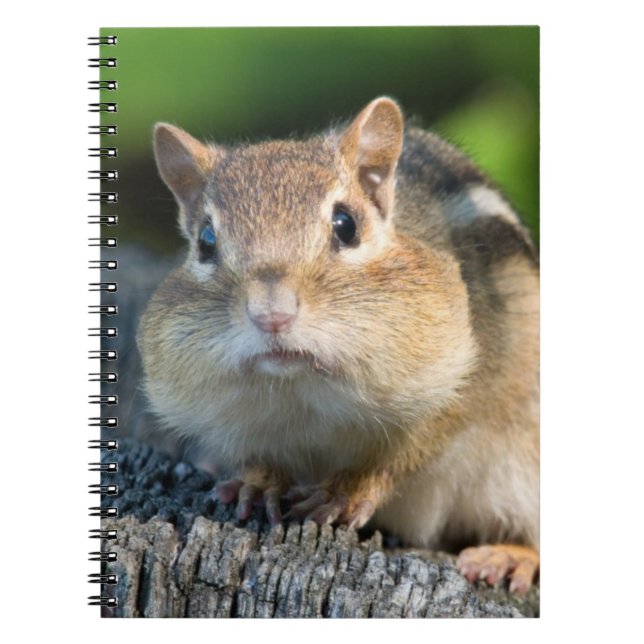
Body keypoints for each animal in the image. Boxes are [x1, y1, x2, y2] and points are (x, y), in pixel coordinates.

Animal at [138, 97, 540, 594]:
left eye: (346, 225)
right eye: (205, 241)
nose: (272, 315)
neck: (303, 391)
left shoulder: (465, 383)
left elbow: (406, 452)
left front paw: (344, 491)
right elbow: (253, 454)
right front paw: (260, 482)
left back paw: (506, 557)